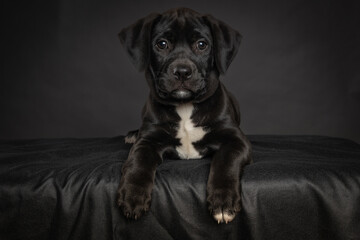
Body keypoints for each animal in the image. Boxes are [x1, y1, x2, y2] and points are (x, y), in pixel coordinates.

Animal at [116, 7, 252, 225]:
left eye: (202, 45)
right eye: (162, 44)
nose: (182, 72)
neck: (185, 106)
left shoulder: (236, 140)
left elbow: (225, 160)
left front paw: (223, 201)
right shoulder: (148, 140)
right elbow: (138, 160)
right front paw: (133, 195)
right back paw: (132, 134)